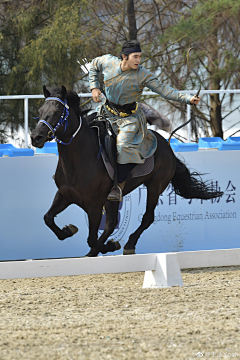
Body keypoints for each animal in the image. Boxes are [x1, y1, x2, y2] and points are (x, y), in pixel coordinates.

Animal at [31, 86, 223, 258]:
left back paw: (128, 245)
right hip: (114, 198)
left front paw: (110, 245)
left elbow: (91, 238)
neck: (80, 160)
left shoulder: (94, 205)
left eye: (57, 111)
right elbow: (48, 218)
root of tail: (166, 145)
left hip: (155, 185)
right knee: (111, 224)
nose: (35, 137)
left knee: (146, 218)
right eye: (40, 110)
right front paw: (68, 230)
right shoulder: (64, 195)